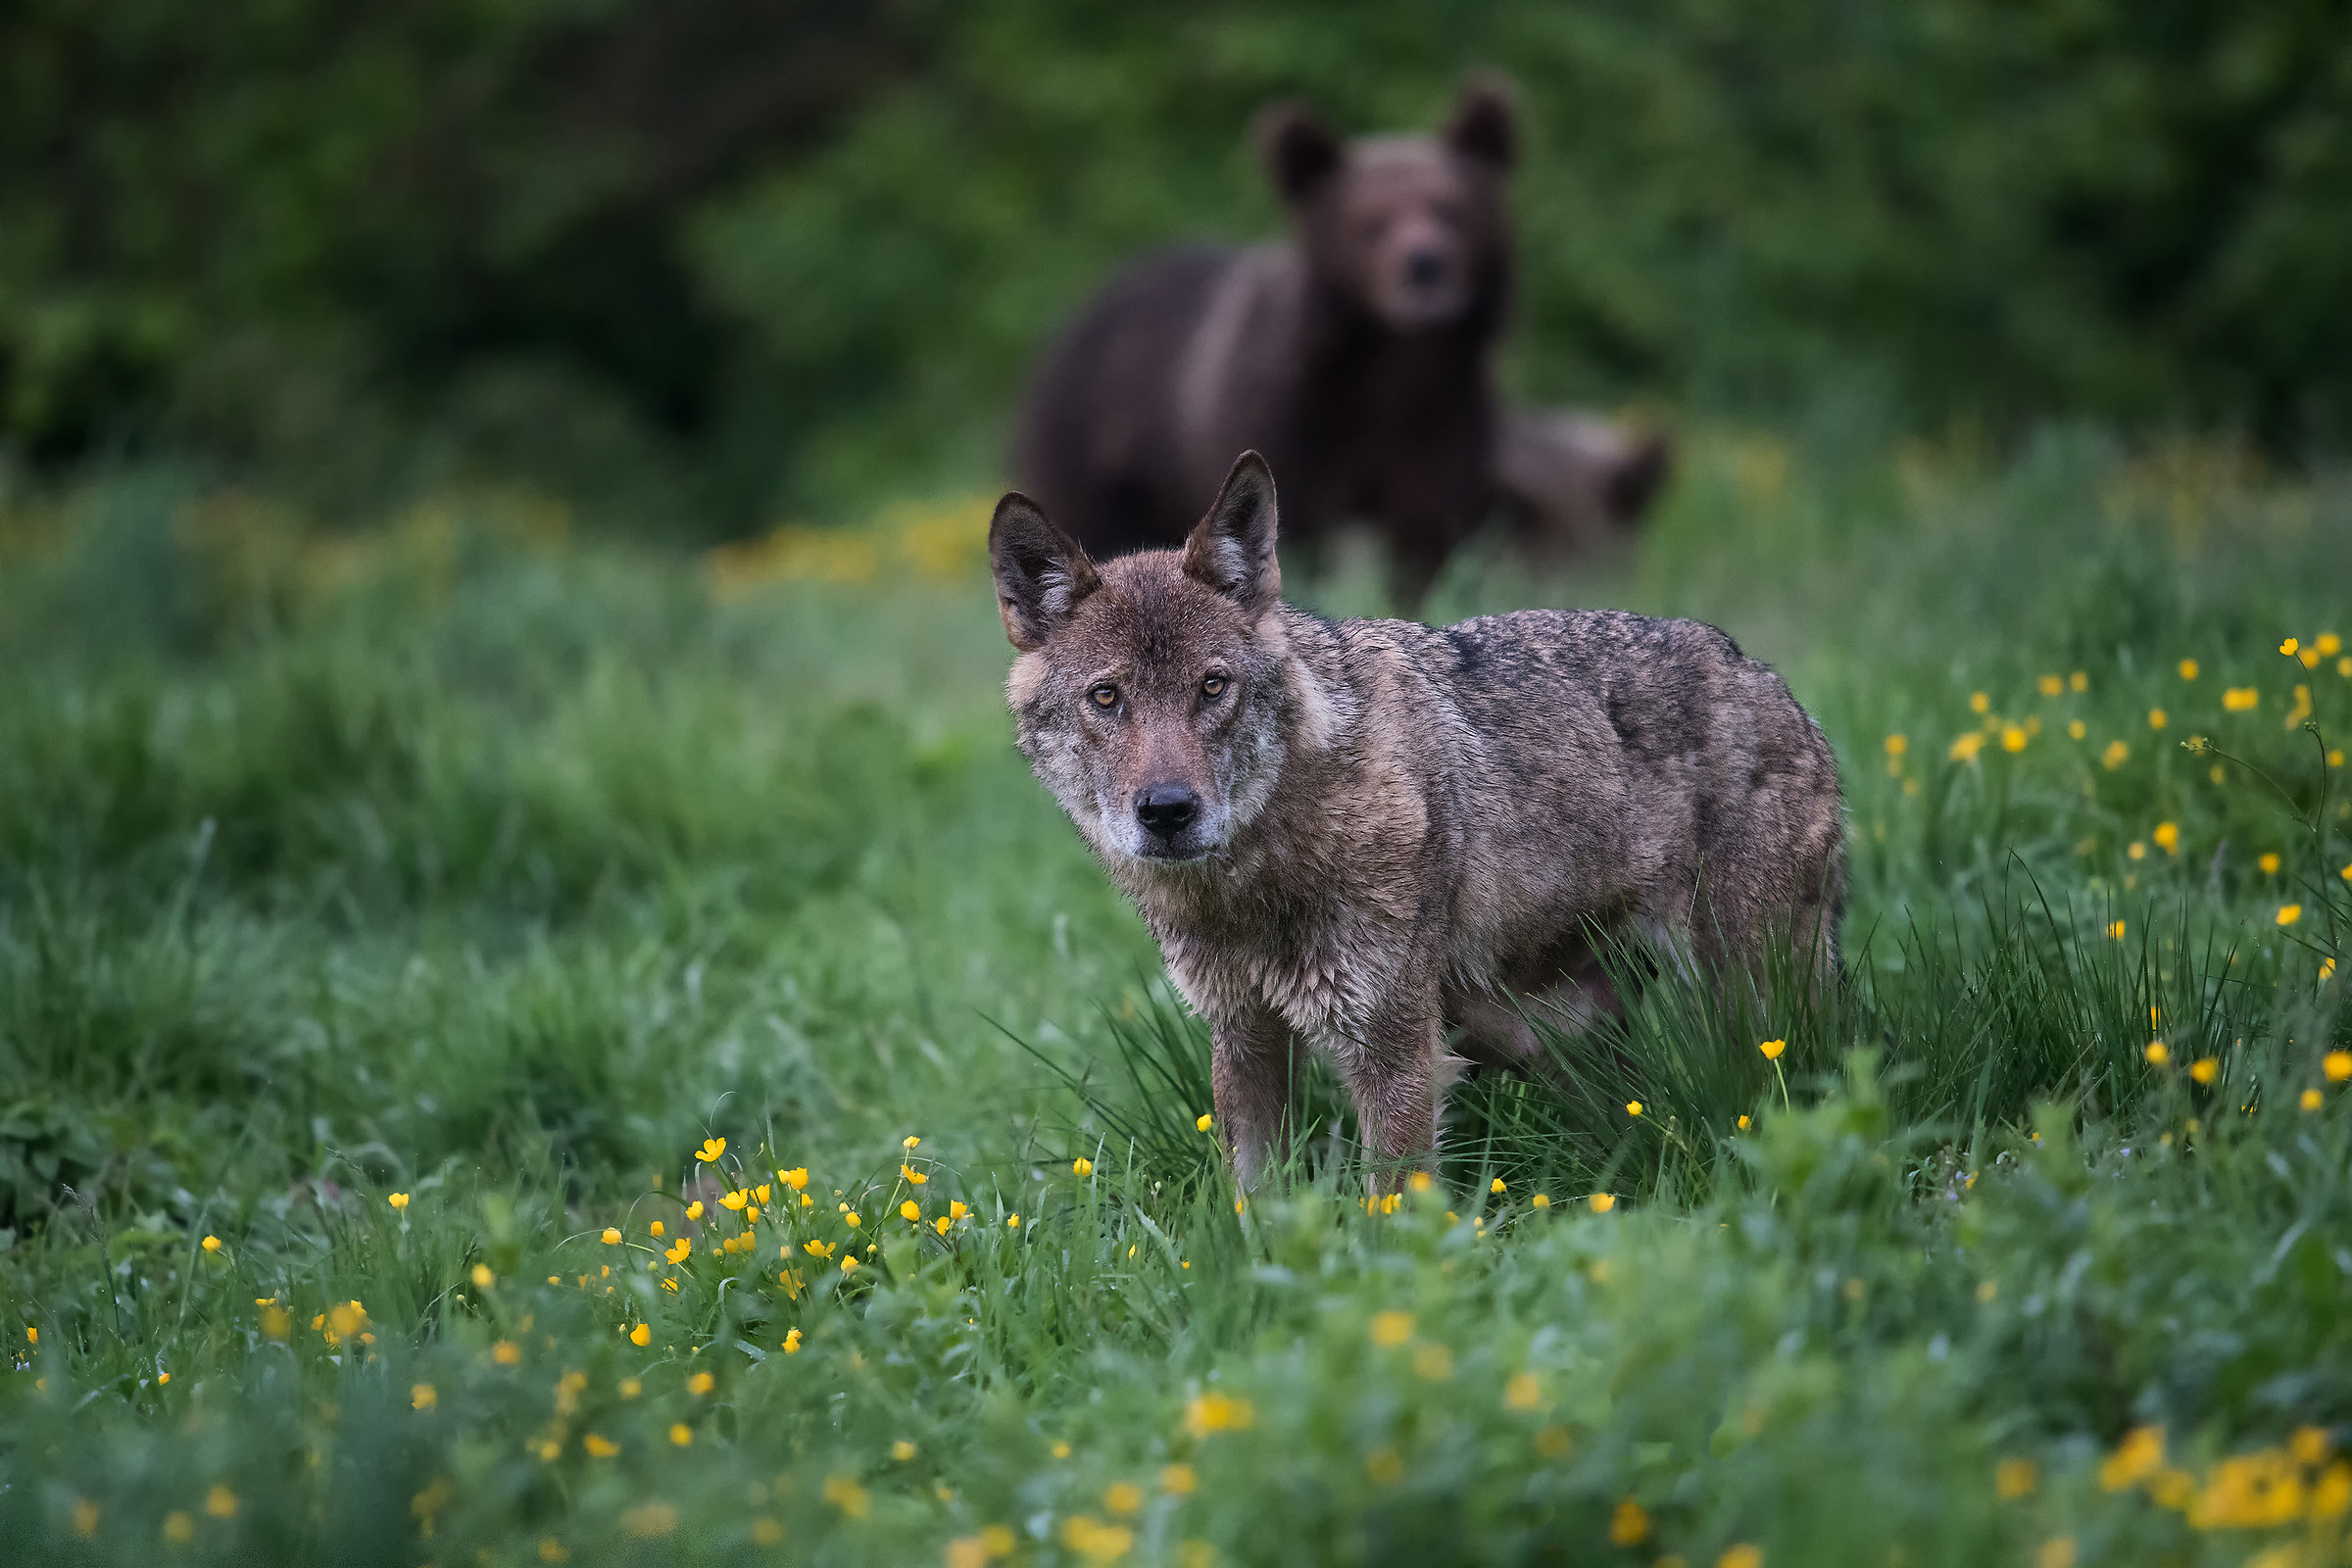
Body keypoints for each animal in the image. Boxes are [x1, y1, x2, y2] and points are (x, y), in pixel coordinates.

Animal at [989, 452, 1846, 1182]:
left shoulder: (1395, 1052)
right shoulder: (1244, 1038)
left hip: (1745, 1002)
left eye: (1212, 686)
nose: (1167, 811)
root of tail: (1773, 684)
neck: (1257, 883)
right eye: (1107, 697)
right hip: (1552, 1036)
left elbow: (1388, 1219)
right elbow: (1254, 1210)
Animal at [1012, 78, 1519, 603]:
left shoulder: (1442, 422)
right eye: (1371, 222)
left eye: (1452, 209)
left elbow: (1429, 530)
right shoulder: (1287, 418)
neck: (1388, 369)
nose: (1424, 265)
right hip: (1092, 439)